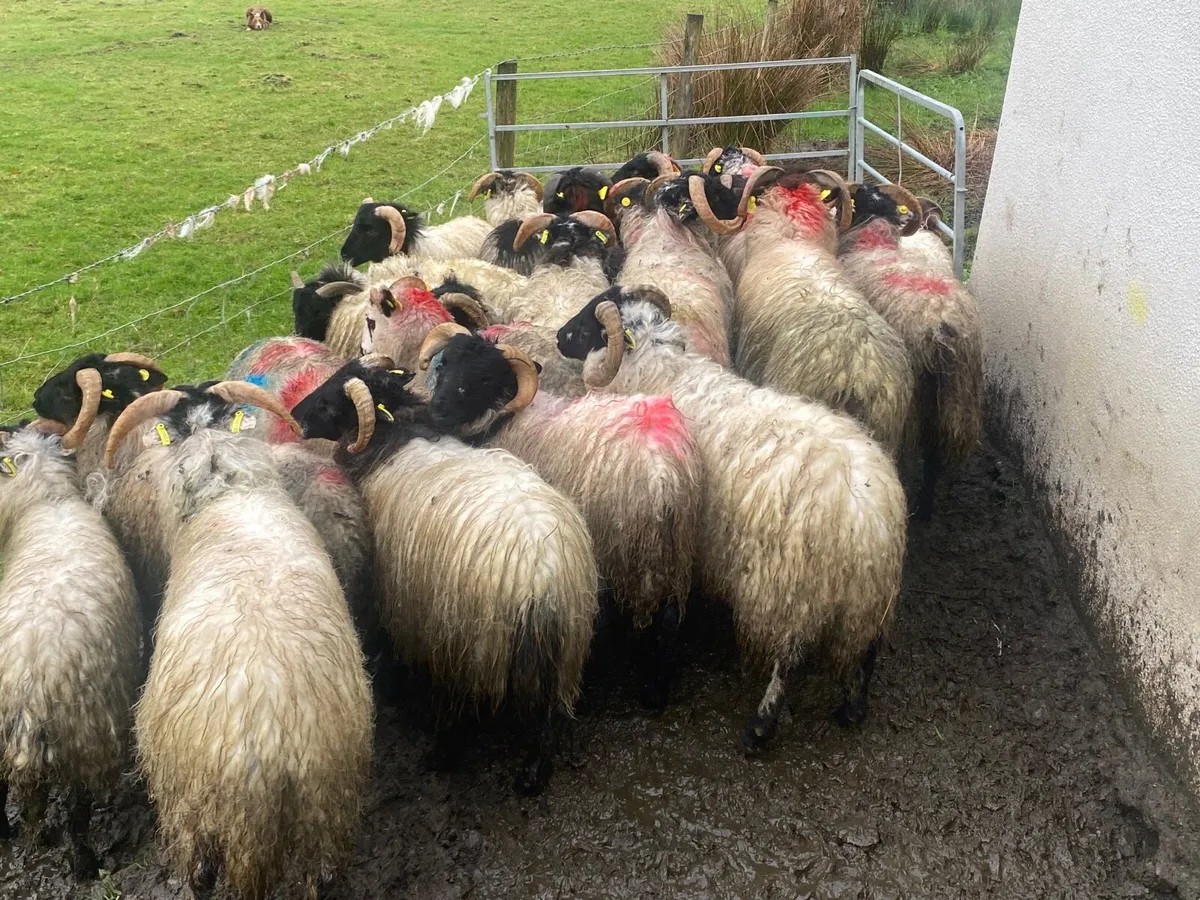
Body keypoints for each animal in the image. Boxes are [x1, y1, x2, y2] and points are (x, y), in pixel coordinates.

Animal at [0, 421, 139, 878]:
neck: (50, 499)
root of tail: (31, 690)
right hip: (84, 735)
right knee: (76, 811)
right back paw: (81, 863)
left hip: (79, 735)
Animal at [292, 358, 597, 794]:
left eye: (331, 402)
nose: (295, 417)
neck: (395, 435)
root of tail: (543, 578)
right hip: (567, 645)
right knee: (553, 715)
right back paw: (533, 774)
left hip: (464, 643)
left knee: (463, 704)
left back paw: (444, 753)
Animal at [419, 323, 701, 709]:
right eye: (444, 364)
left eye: (484, 378)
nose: (437, 412)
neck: (508, 419)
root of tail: (664, 475)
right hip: (677, 548)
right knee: (671, 619)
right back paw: (659, 691)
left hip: (632, 549)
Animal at [556, 286, 908, 753]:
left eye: (587, 324)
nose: (558, 337)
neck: (661, 370)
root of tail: (864, 514)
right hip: (871, 595)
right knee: (867, 650)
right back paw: (852, 710)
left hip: (788, 588)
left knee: (788, 660)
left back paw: (759, 727)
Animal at [836, 183, 982, 521]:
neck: (873, 241)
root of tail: (942, 325)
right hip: (958, 395)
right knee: (936, 453)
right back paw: (925, 509)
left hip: (917, 397)